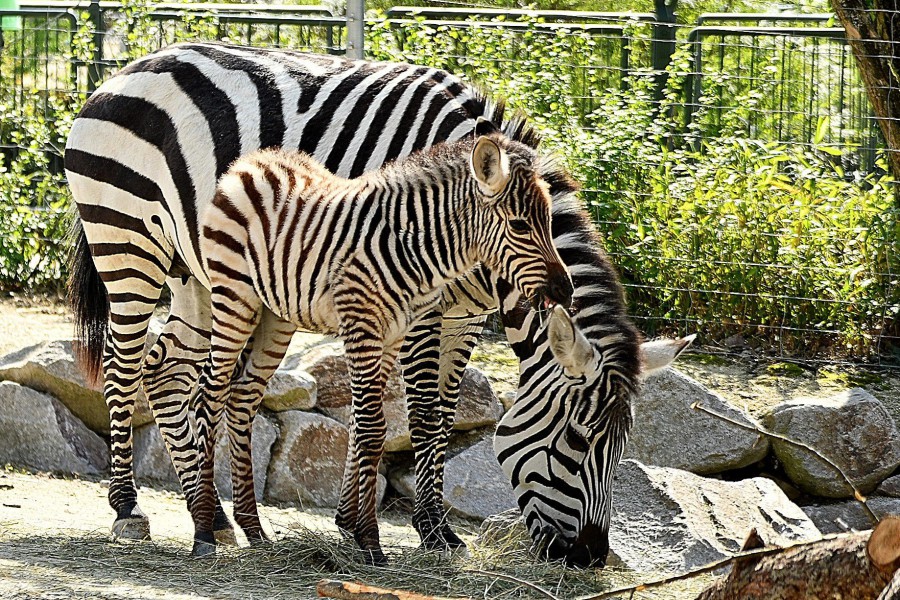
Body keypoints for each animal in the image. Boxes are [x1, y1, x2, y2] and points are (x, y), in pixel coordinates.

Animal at [190, 135, 572, 562]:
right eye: (520, 225)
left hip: (276, 315)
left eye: (549, 223)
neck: (416, 249)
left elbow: (369, 430)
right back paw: (204, 532)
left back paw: (254, 530)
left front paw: (357, 531)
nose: (565, 291)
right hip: (234, 296)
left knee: (241, 399)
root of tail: (253, 161)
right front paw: (371, 542)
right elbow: (373, 430)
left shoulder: (396, 335)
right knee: (208, 395)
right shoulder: (364, 326)